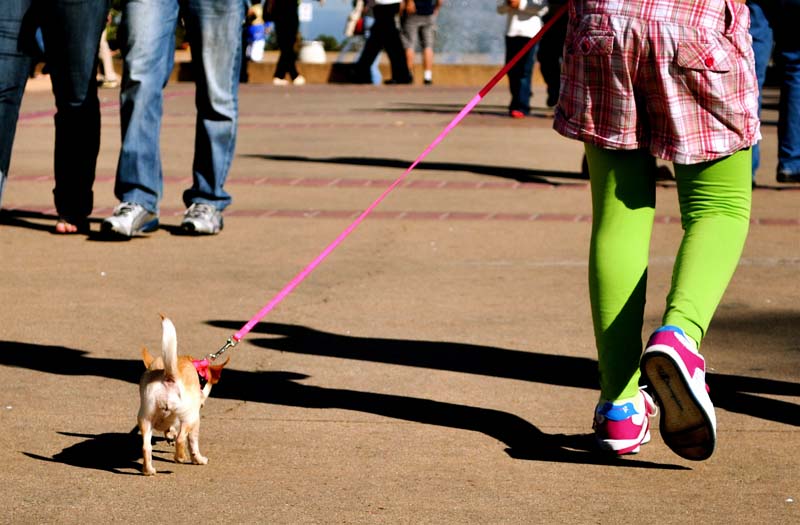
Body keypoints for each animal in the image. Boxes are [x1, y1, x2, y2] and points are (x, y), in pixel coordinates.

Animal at [138, 316, 228, 474]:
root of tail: (169, 376)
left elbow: (170, 430)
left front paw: (169, 435)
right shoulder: (195, 420)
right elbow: (193, 443)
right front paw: (198, 460)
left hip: (145, 418)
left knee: (146, 447)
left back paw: (149, 470)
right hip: (189, 417)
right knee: (181, 438)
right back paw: (180, 457)